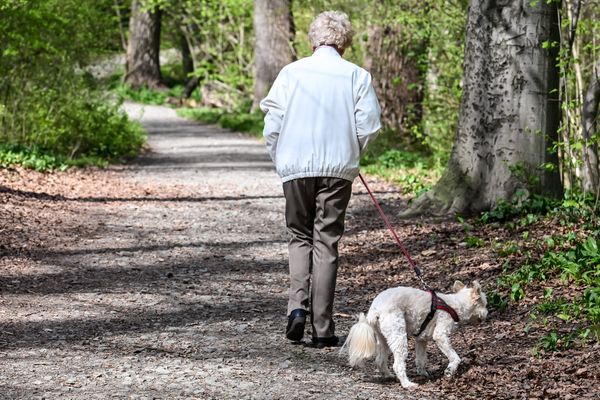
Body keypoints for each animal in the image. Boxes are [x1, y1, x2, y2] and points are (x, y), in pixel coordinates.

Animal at [342, 282, 488, 388]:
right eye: (485, 304)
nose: (487, 313)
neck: (455, 305)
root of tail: (374, 309)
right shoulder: (440, 335)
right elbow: (455, 357)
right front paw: (449, 371)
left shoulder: (421, 339)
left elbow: (421, 359)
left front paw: (423, 373)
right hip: (398, 335)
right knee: (398, 365)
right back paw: (407, 384)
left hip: (384, 339)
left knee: (380, 360)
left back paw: (389, 376)